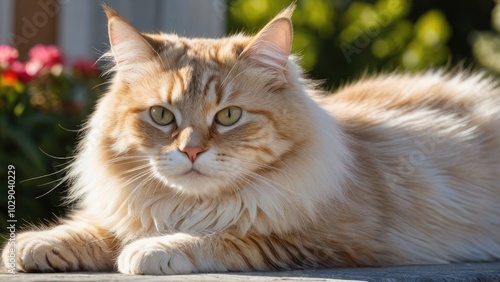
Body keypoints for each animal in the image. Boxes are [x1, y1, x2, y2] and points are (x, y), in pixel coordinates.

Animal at [3, 3, 500, 274]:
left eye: (228, 116)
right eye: (162, 116)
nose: (191, 150)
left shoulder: (319, 242)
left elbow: (222, 237)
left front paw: (153, 249)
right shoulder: (129, 210)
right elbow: (95, 228)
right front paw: (33, 245)